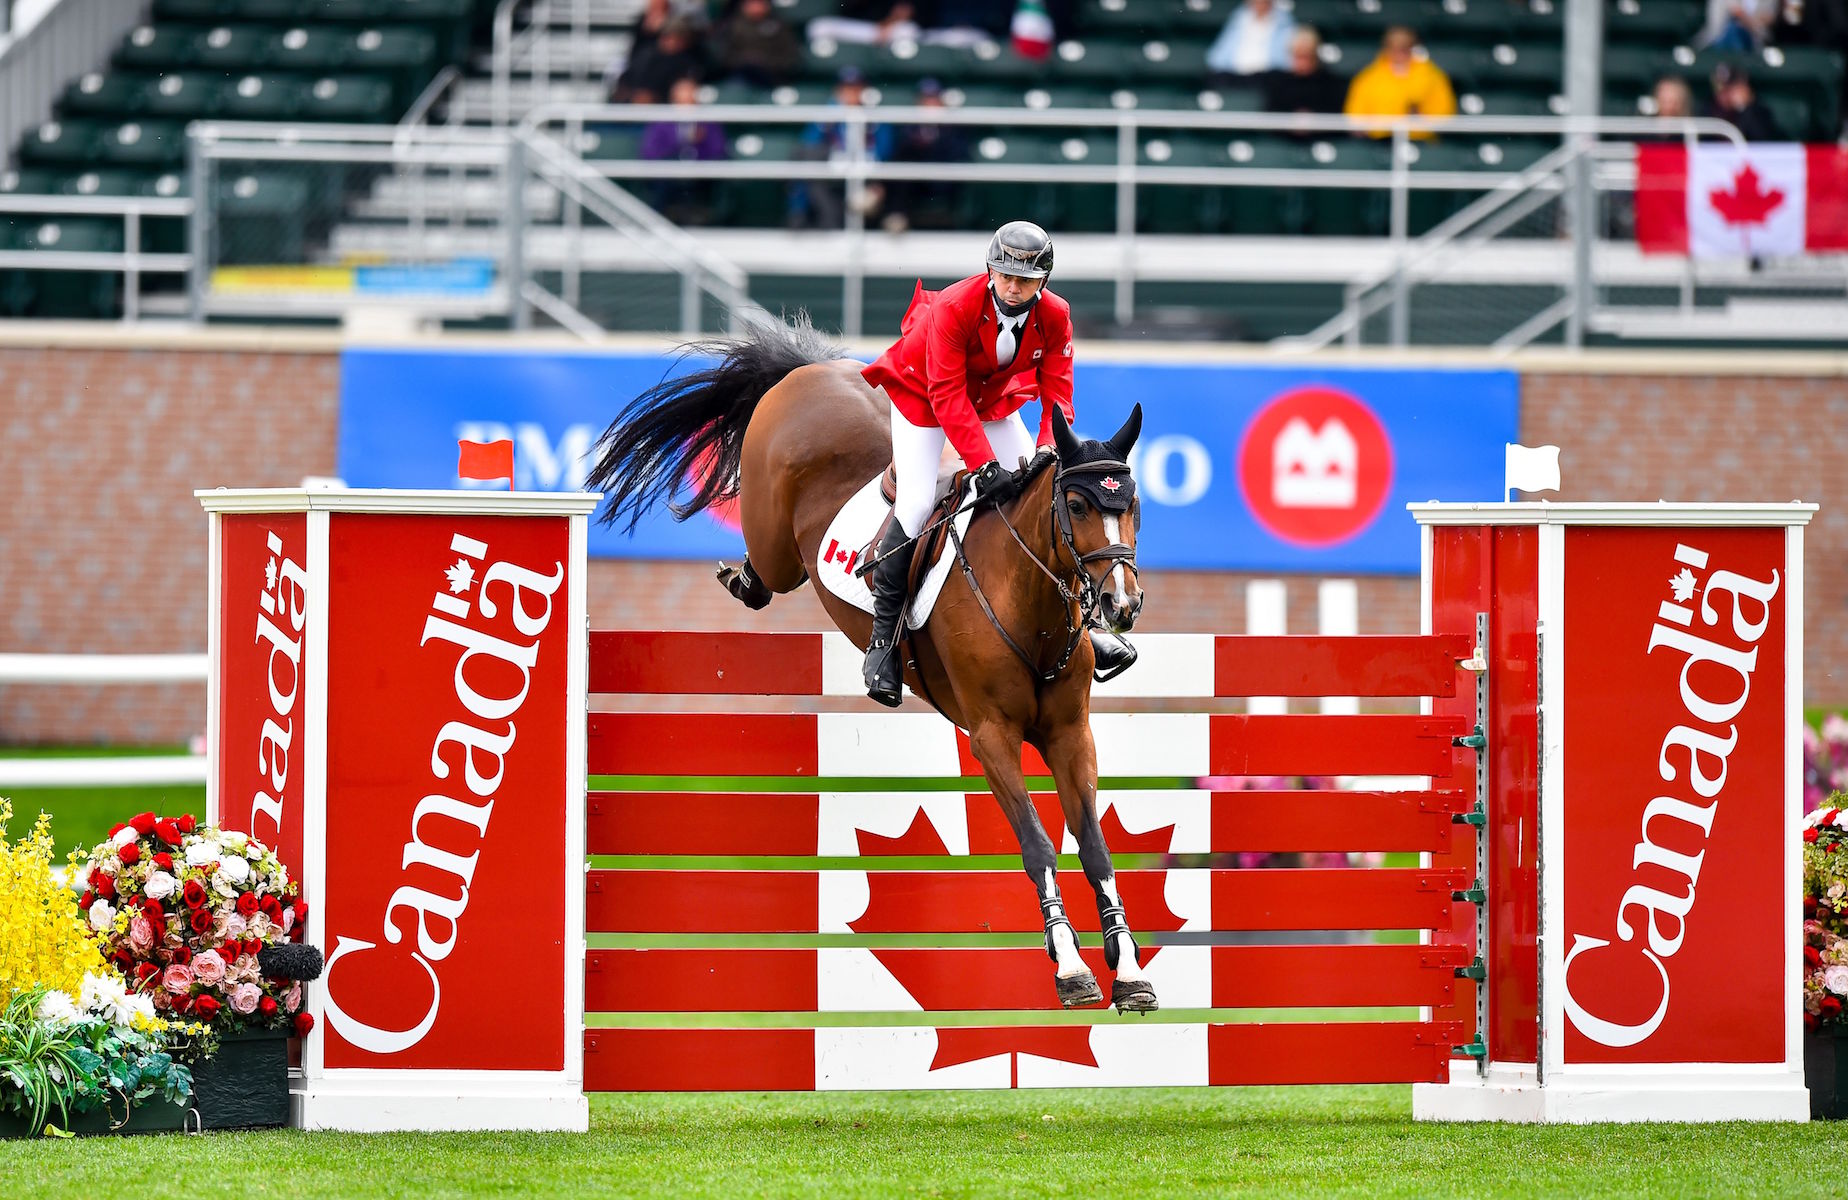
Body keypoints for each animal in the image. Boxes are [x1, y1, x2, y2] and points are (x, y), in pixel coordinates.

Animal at [583, 310, 1160, 1013]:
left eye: (1132, 505)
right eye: (1076, 507)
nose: (1121, 604)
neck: (1028, 602)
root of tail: (812, 369)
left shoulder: (1070, 734)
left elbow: (1096, 847)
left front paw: (1128, 969)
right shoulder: (992, 737)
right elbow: (1038, 844)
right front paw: (1071, 968)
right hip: (777, 540)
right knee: (766, 567)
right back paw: (741, 578)